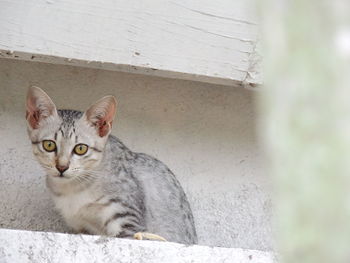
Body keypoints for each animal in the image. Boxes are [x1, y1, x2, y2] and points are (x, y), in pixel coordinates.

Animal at [25, 86, 197, 245]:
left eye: (81, 148)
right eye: (49, 145)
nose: (62, 167)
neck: (72, 190)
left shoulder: (127, 217)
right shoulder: (81, 226)